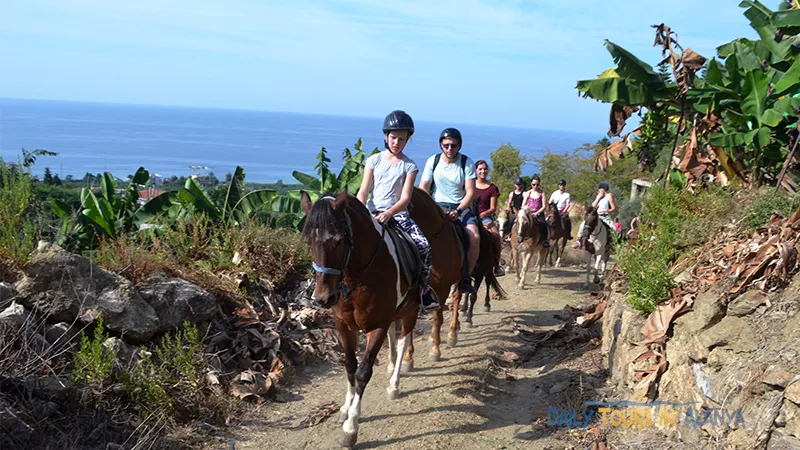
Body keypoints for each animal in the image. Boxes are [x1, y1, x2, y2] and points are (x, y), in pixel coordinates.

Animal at [300, 187, 422, 446]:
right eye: (308, 241)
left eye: (338, 241)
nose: (323, 298)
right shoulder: (343, 325)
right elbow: (349, 365)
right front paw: (345, 408)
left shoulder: (377, 325)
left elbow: (364, 371)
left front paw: (351, 426)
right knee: (395, 337)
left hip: (412, 310)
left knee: (402, 340)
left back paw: (394, 384)